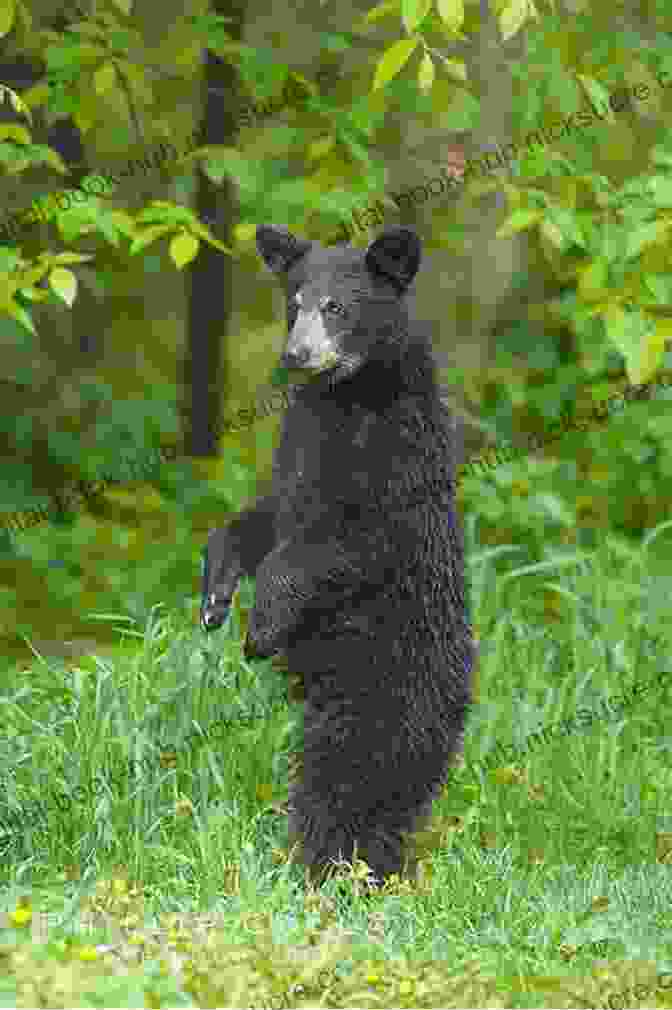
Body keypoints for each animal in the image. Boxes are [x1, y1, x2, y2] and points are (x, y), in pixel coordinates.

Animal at [199, 225, 470, 888]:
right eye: (294, 303)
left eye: (336, 307)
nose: (295, 355)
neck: (345, 394)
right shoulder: (299, 441)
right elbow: (266, 517)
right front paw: (216, 594)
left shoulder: (396, 455)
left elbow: (349, 539)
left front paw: (259, 628)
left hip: (384, 685)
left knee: (355, 781)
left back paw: (333, 867)